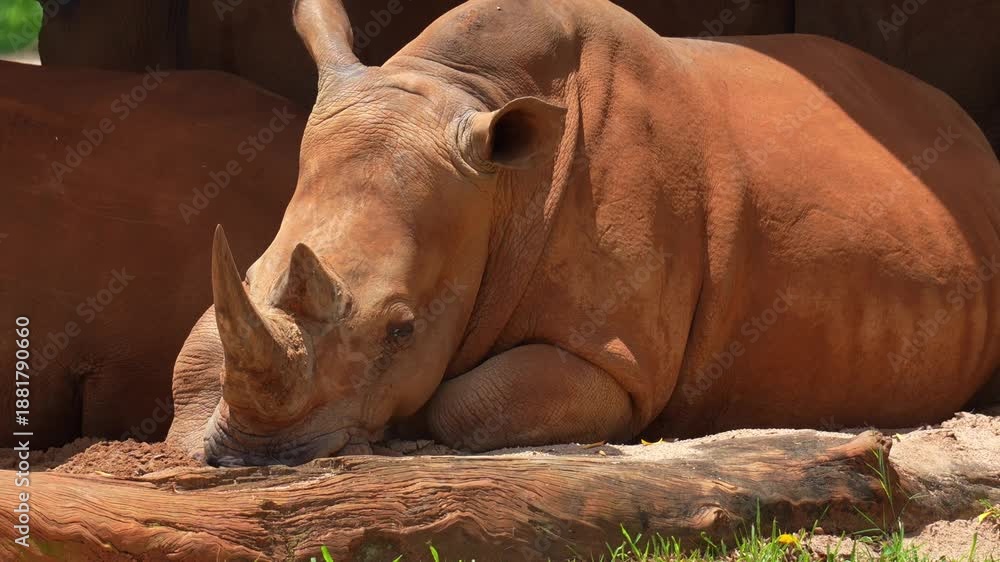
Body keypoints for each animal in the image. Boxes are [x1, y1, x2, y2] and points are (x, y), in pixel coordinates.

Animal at [167, 0, 1000, 465]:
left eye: (401, 331)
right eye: (251, 276)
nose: (254, 454)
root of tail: (963, 122)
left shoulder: (617, 358)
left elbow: (468, 402)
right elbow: (196, 345)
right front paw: (185, 438)